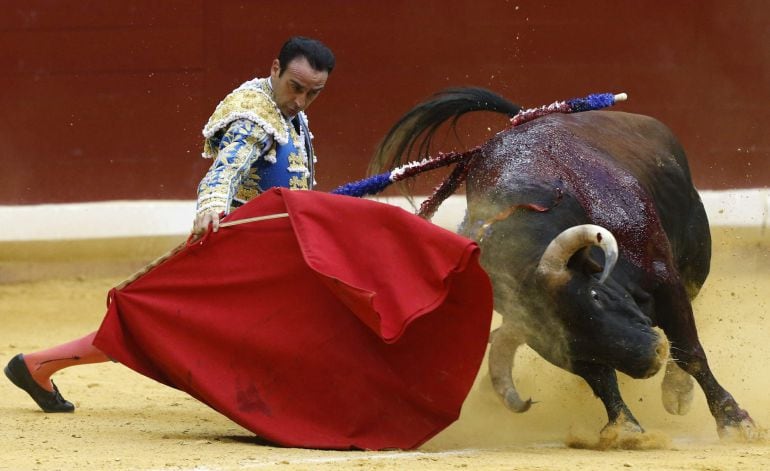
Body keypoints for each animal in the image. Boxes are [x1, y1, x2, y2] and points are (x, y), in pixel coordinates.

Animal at [368, 86, 752, 440]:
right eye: (564, 348)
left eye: (595, 296)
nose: (651, 357)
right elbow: (602, 378)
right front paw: (624, 429)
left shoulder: (665, 279)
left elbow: (690, 350)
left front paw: (733, 420)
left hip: (695, 258)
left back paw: (678, 391)